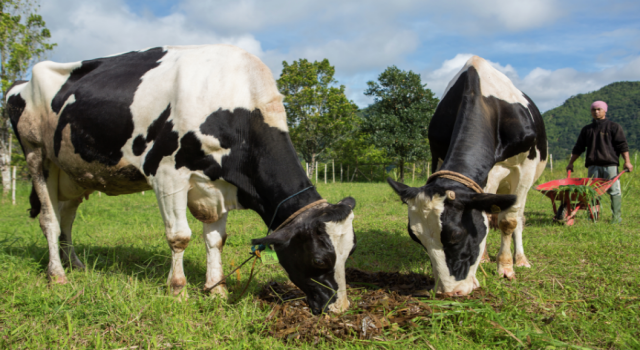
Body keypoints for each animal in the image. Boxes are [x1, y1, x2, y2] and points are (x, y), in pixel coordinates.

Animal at [6, 44, 356, 314]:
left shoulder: (218, 186)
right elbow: (179, 237)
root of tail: (20, 83)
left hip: (72, 171)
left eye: (350, 252)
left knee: (66, 215)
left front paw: (216, 289)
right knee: (49, 219)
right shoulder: (167, 175)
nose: (340, 308)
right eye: (320, 259)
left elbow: (216, 239)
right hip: (37, 156)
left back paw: (75, 264)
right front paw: (178, 290)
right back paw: (57, 275)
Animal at [388, 55, 548, 296]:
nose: (448, 292)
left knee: (518, 217)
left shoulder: (525, 166)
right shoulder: (439, 155)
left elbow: (509, 221)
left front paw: (505, 267)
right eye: (416, 237)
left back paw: (520, 259)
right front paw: (483, 262)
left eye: (456, 235)